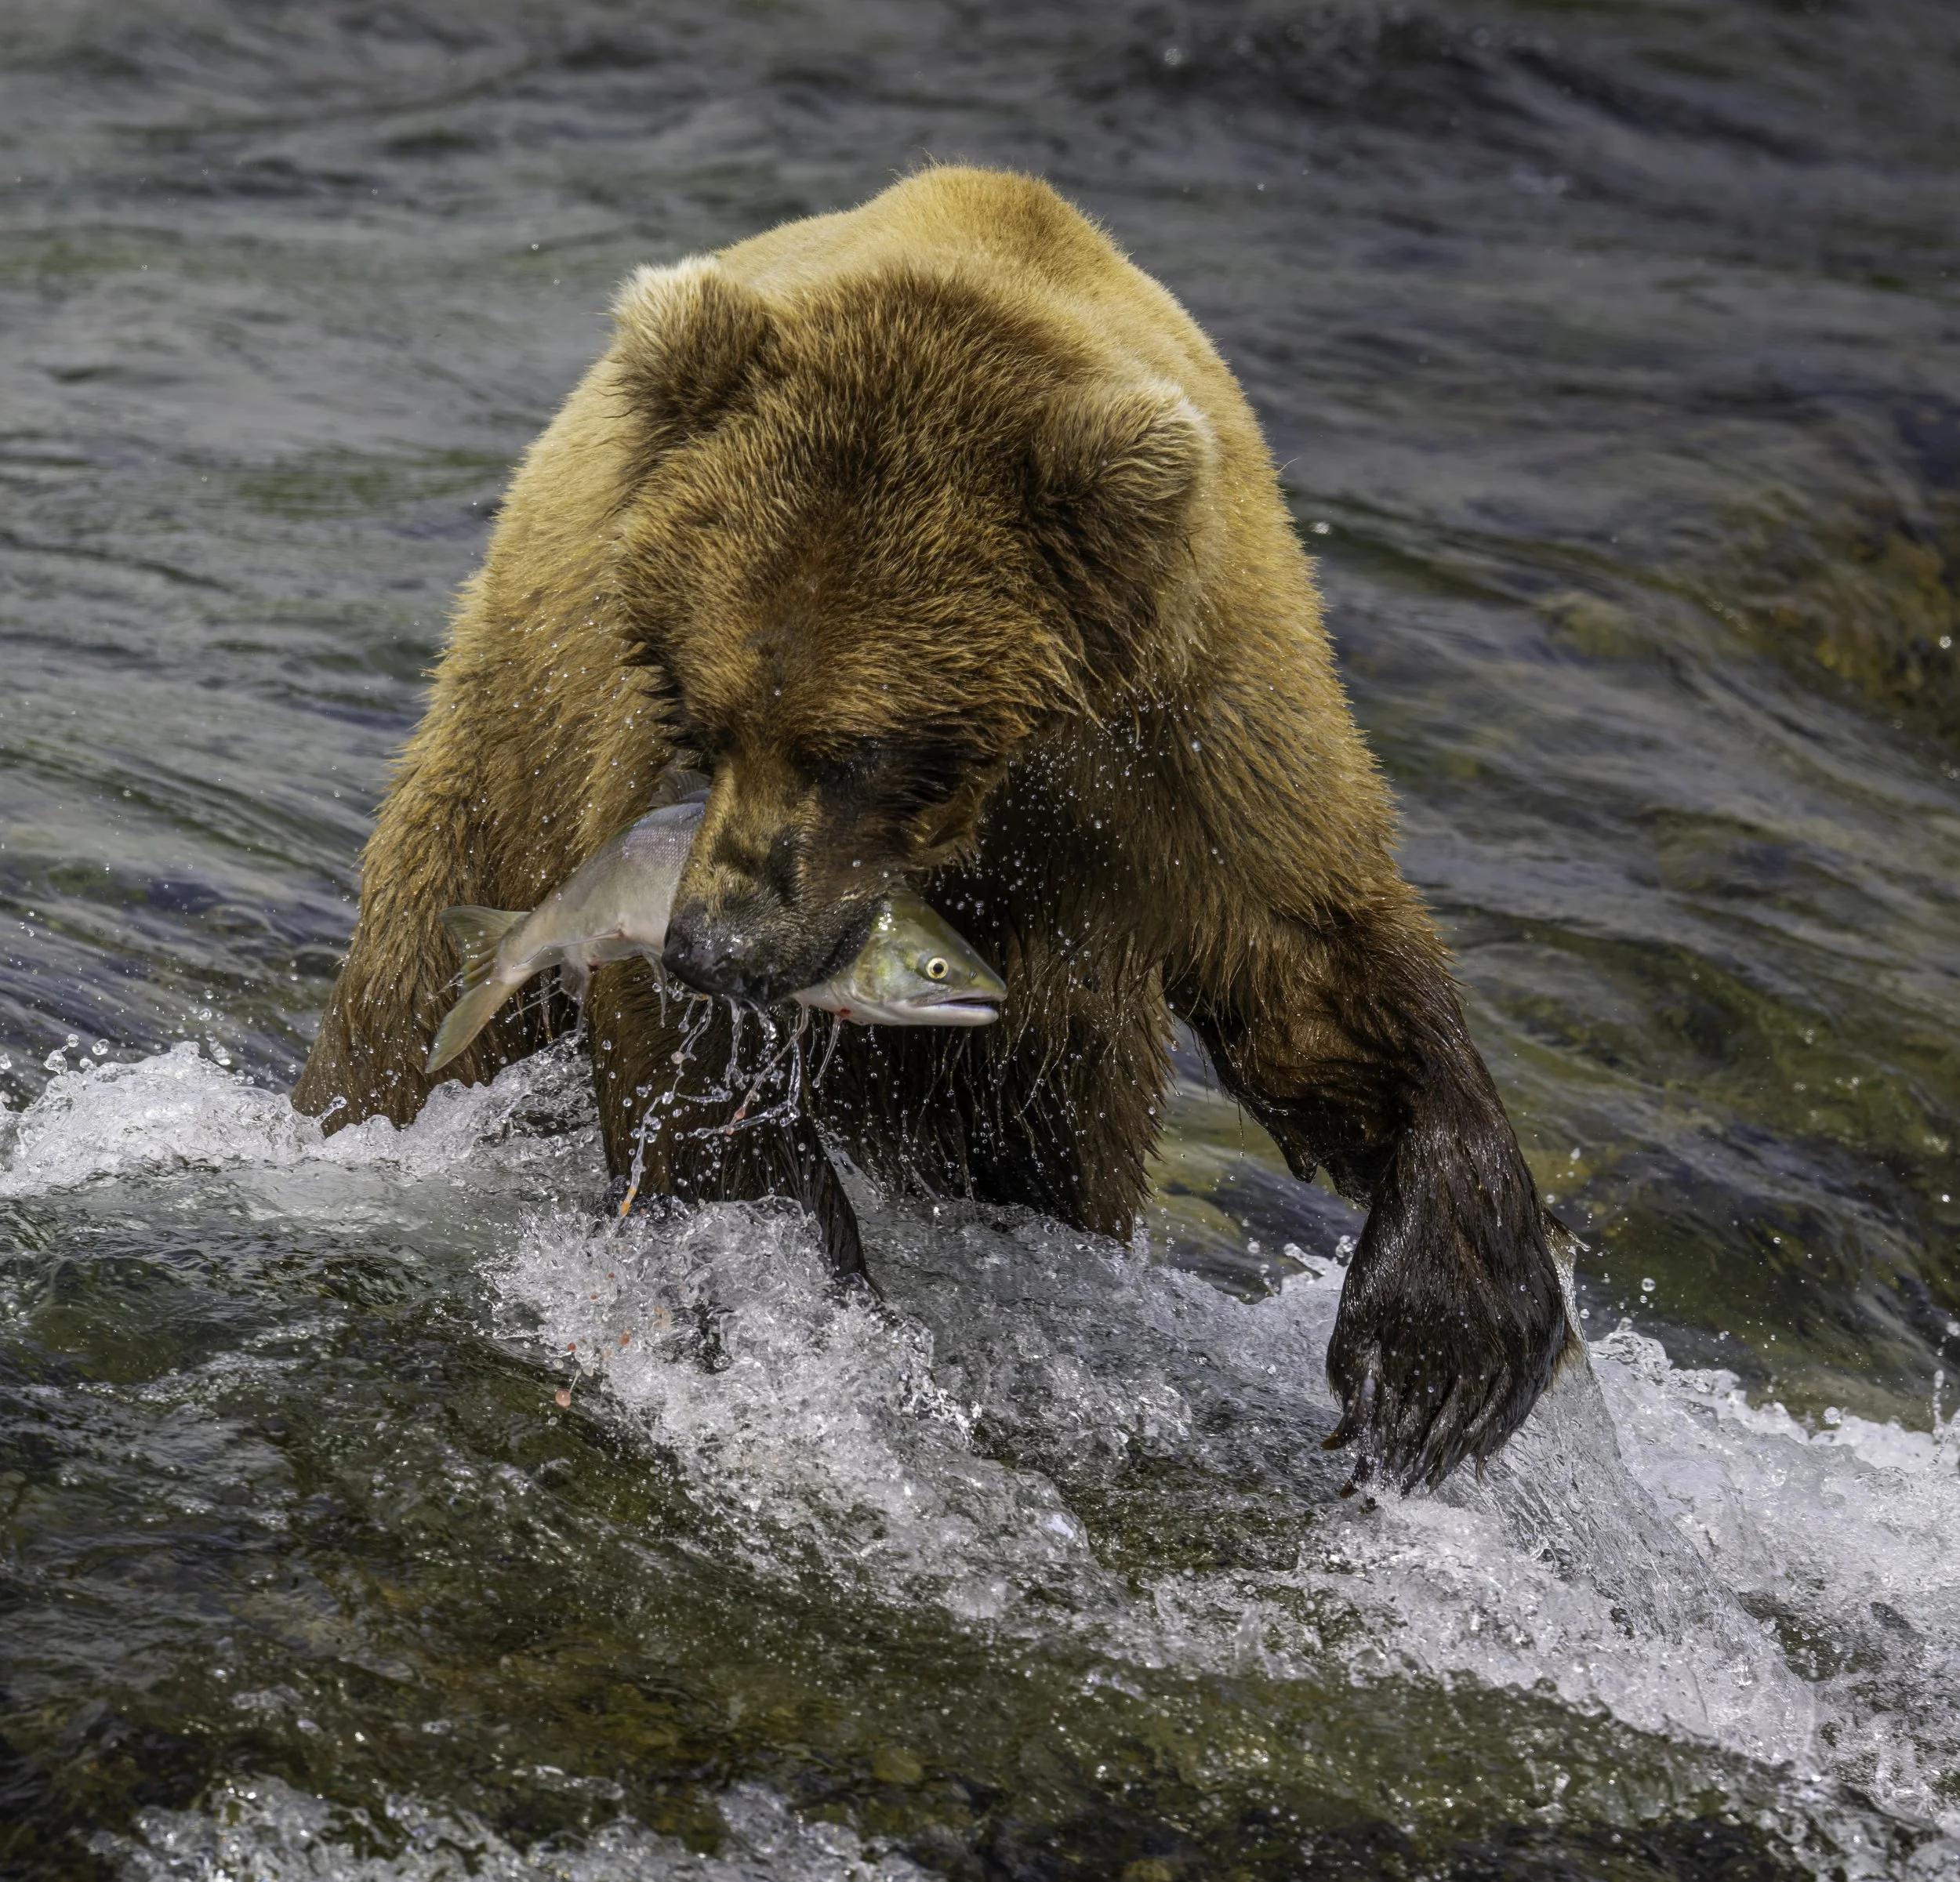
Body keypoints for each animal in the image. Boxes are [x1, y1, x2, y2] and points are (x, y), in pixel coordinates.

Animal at [293, 166, 1573, 1491]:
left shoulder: (1193, 748)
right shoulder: (644, 754)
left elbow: (1314, 968)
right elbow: (686, 1059)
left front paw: (1439, 1356)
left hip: (1062, 1055)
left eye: (861, 747)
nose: (719, 947)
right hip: (505, 766)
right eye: (706, 715)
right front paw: (793, 1259)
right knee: (413, 1006)